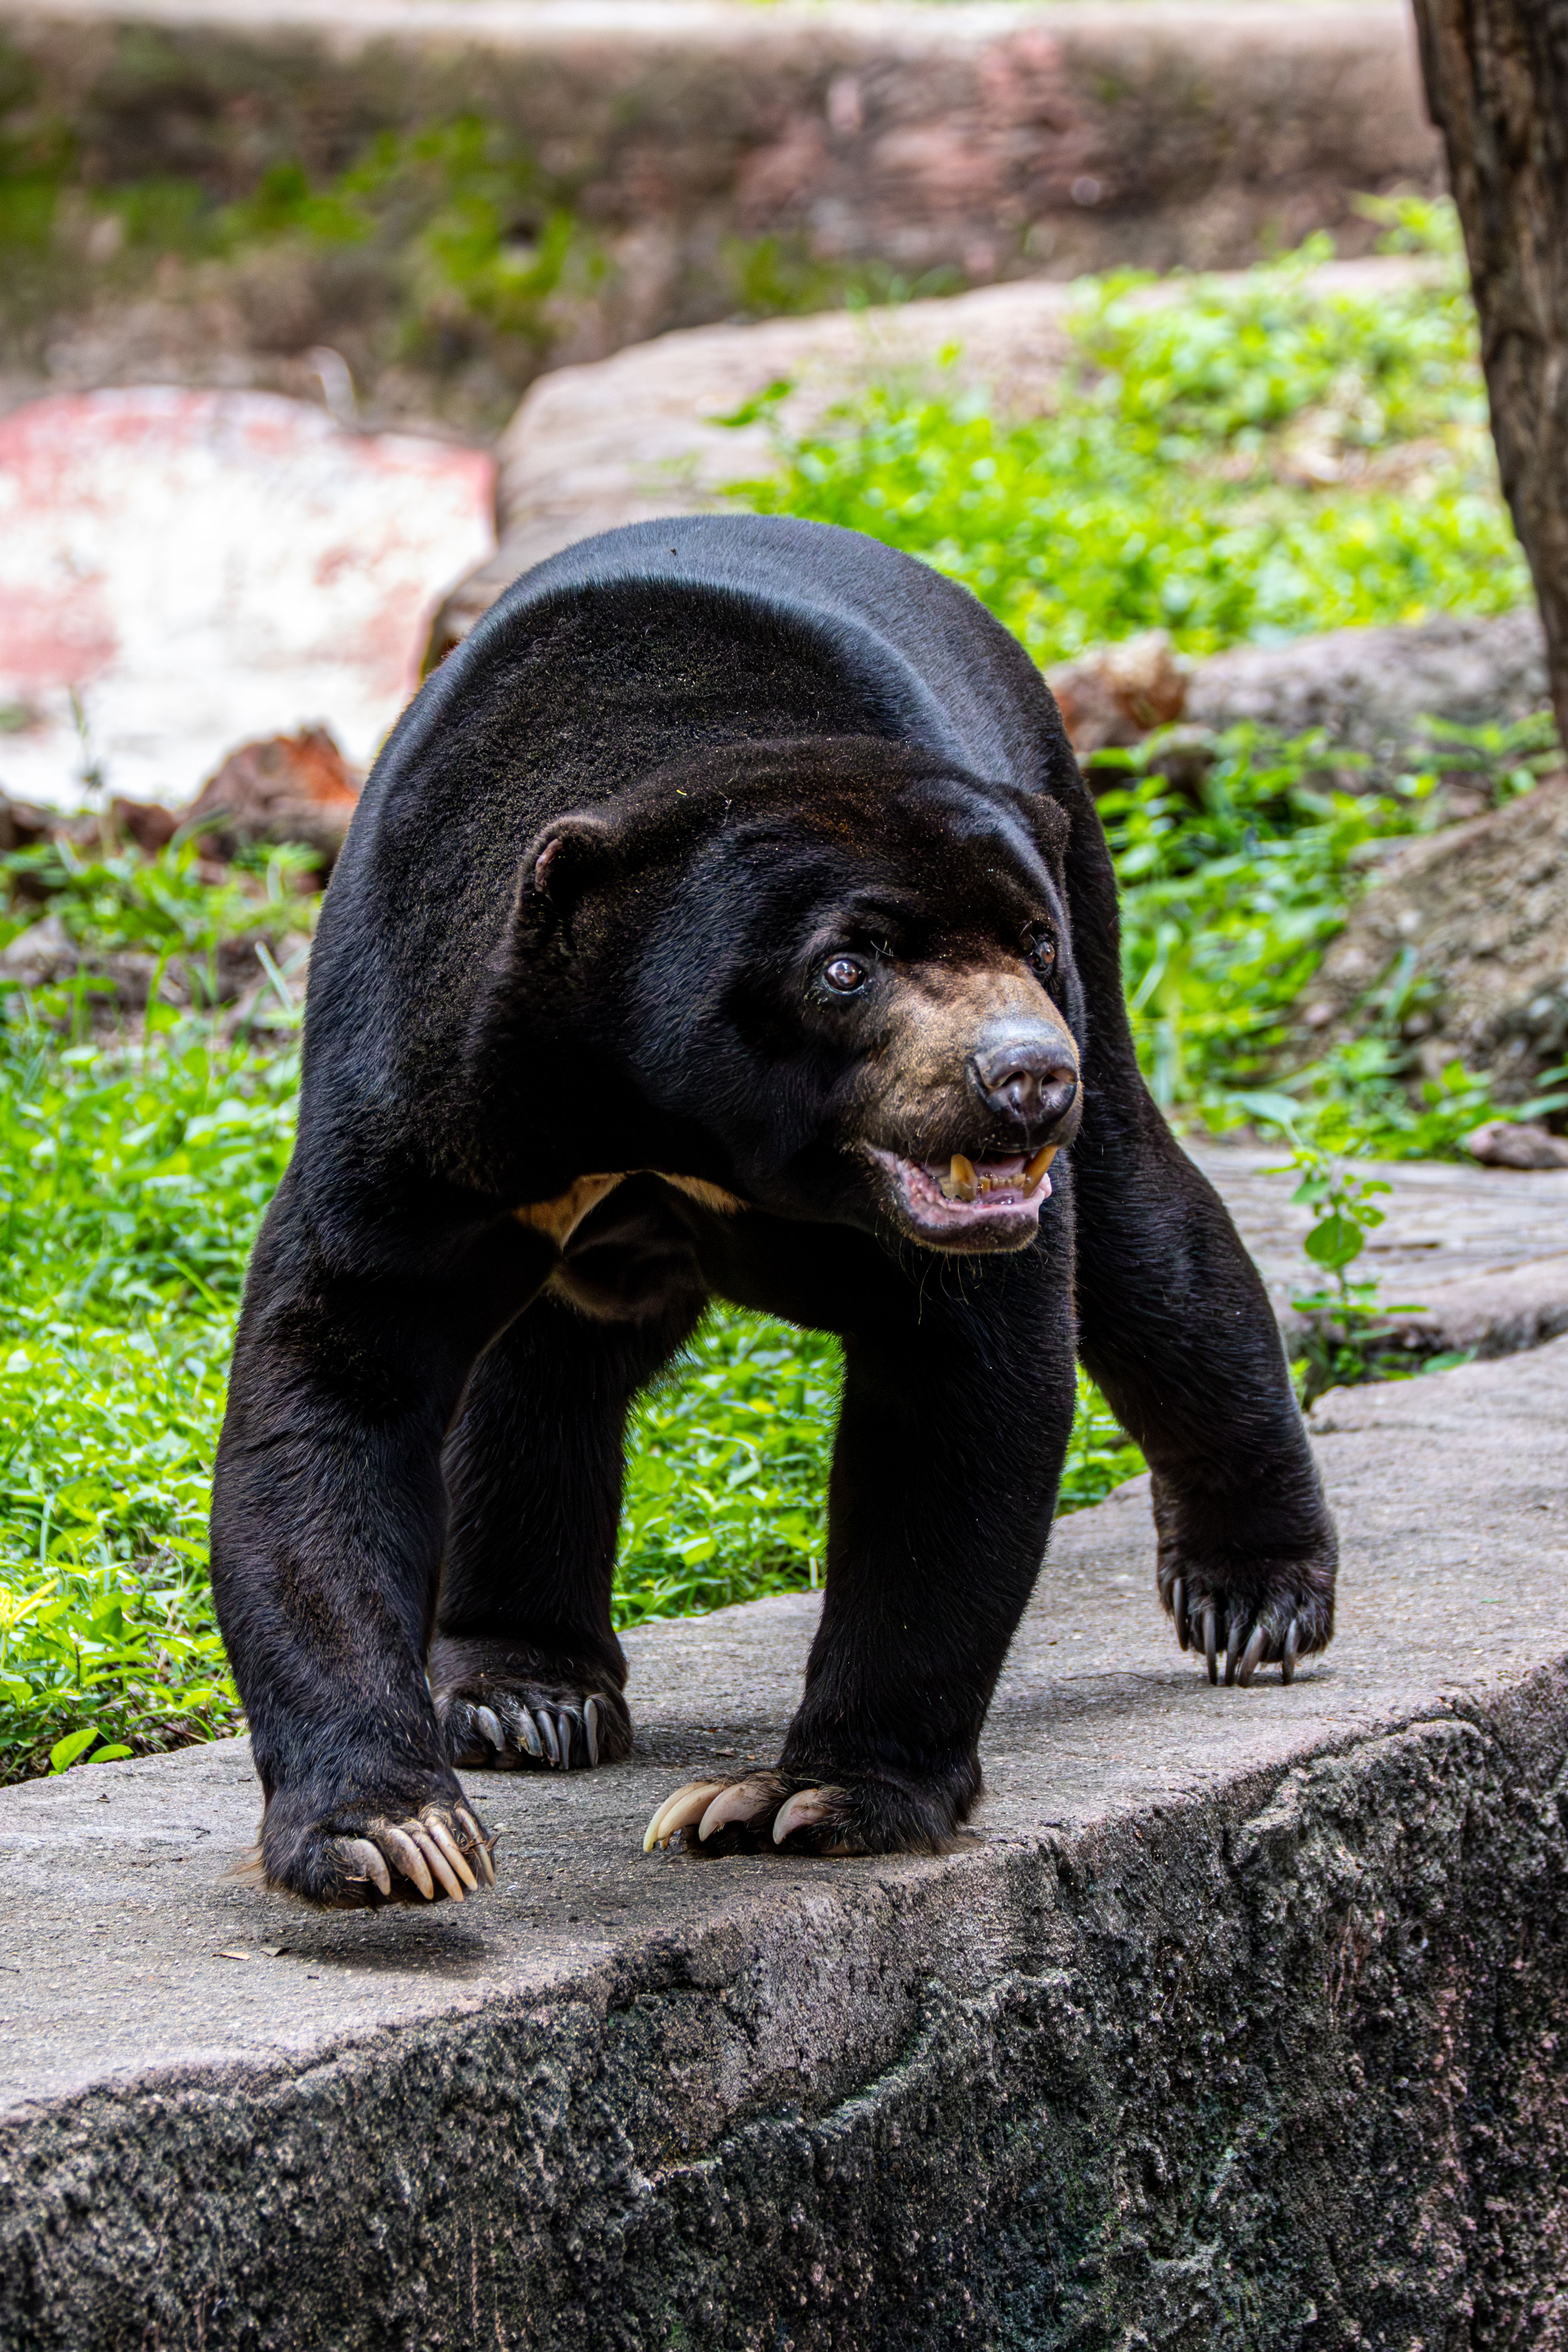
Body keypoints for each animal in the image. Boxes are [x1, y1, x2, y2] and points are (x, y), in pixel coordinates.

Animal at [211, 513, 1336, 1905]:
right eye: (844, 967)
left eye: (1029, 942)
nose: (1025, 1079)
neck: (669, 1125)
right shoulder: (430, 1091)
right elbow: (337, 1380)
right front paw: (393, 1833)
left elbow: (961, 1399)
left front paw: (805, 1796)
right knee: (541, 1379)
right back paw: (525, 1689)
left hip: (1093, 914)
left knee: (1148, 1249)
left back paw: (1256, 1597)